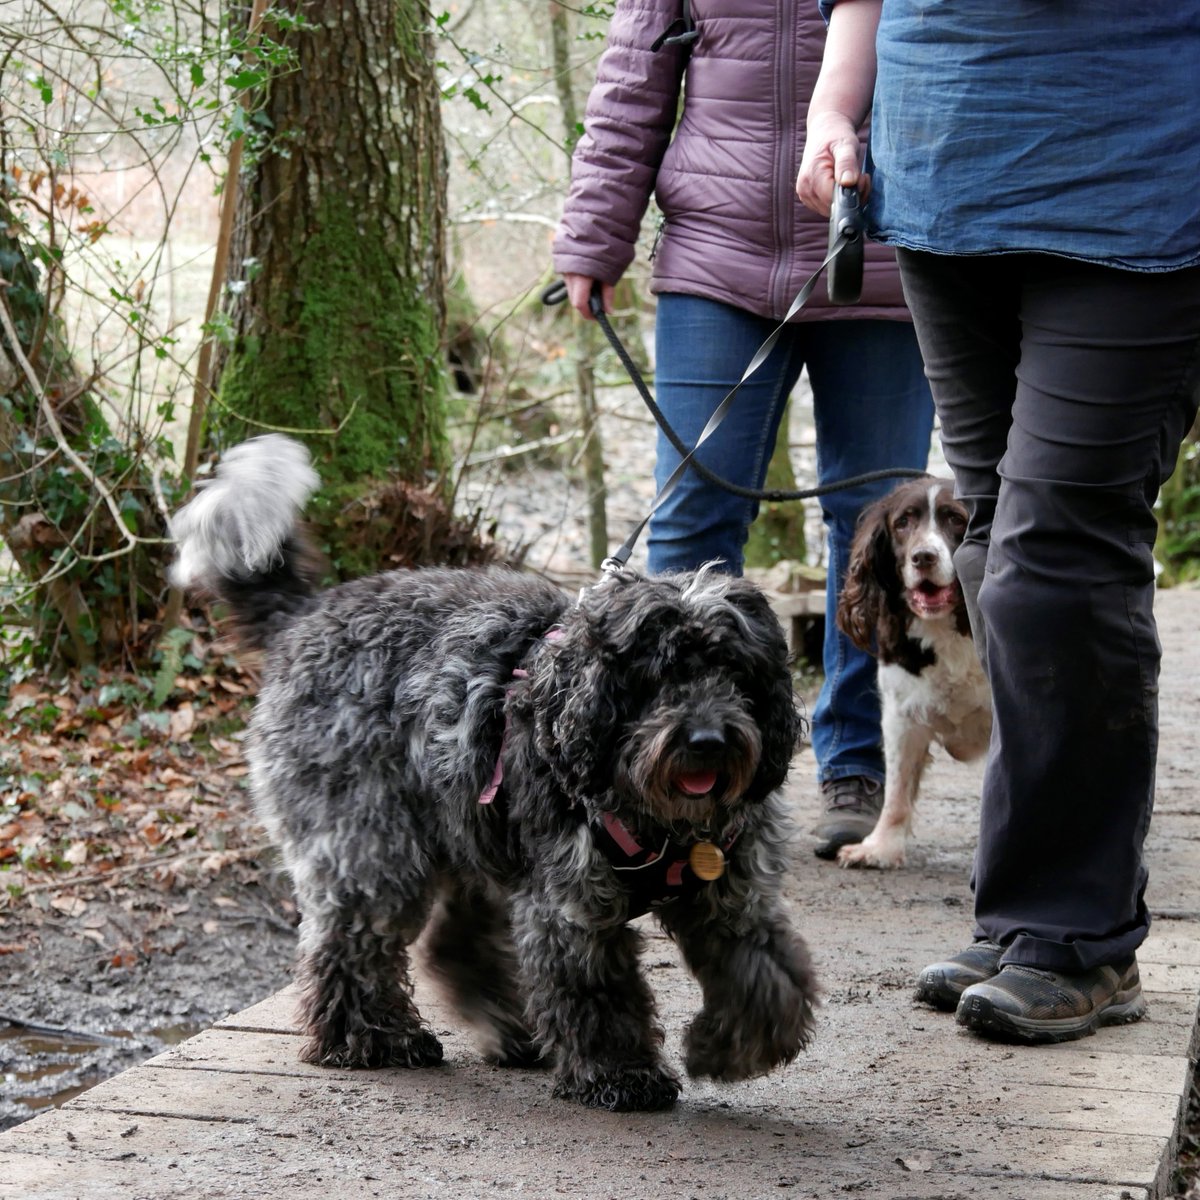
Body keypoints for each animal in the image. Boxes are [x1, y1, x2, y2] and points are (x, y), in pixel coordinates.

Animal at [169, 436, 820, 1108]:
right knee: (352, 944)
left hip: (470, 835)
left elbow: (767, 973)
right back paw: (372, 1036)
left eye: (734, 671)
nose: (707, 740)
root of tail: (303, 614)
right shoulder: (570, 905)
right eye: (659, 675)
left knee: (454, 946)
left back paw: (509, 1030)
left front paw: (733, 1048)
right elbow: (600, 993)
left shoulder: (731, 892)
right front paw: (622, 1073)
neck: (662, 822)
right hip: (373, 847)